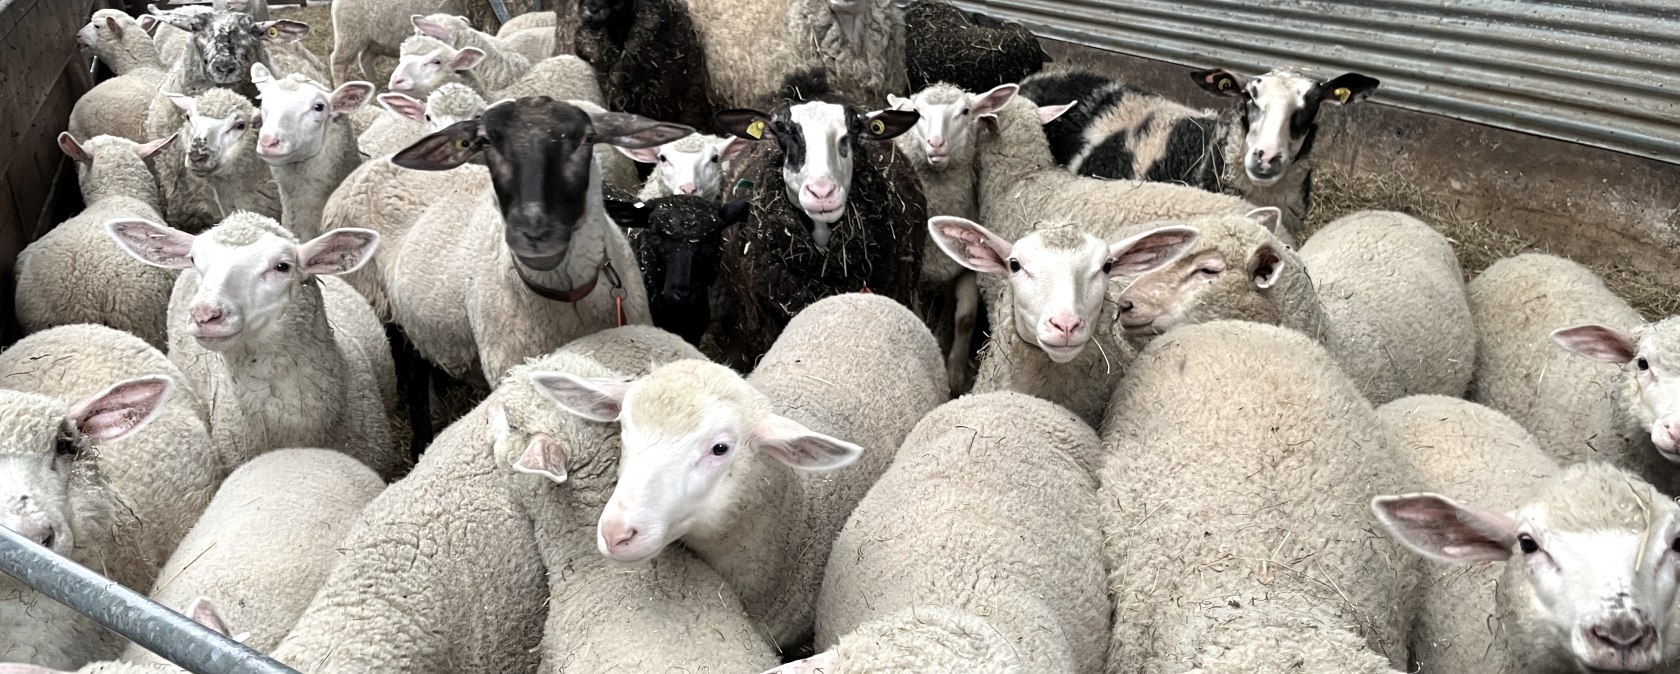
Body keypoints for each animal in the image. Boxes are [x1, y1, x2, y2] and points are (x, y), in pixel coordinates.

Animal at [887, 82, 1018, 393]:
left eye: (966, 111)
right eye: (916, 112)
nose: (936, 144)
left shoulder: (966, 266)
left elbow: (965, 318)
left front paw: (957, 374)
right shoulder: (914, 276)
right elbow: (920, 318)